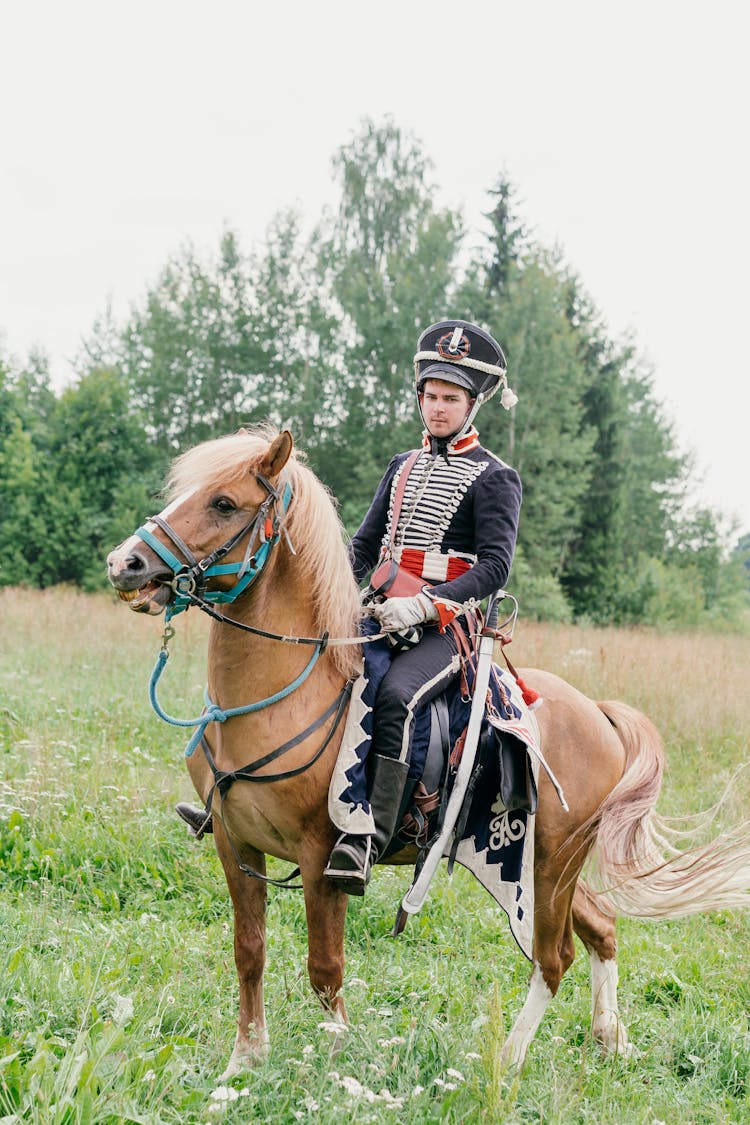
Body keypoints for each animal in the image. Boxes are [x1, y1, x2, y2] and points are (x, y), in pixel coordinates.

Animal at [105, 425, 750, 1075]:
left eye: (223, 503)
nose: (124, 563)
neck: (280, 696)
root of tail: (597, 713)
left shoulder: (322, 857)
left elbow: (325, 968)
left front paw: (334, 1061)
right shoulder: (236, 845)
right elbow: (249, 951)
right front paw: (245, 1062)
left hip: (553, 861)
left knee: (553, 957)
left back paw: (507, 1061)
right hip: (547, 865)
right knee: (601, 925)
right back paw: (610, 1036)